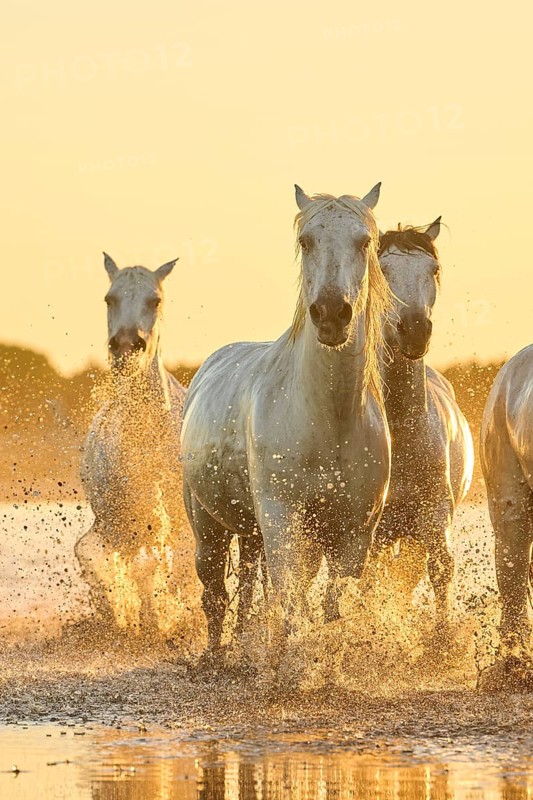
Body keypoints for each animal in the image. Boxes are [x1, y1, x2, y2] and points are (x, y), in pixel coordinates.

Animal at [77, 253, 190, 636]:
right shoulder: (124, 521)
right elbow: (135, 572)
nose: (126, 346)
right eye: (109, 299)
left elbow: (176, 568)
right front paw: (139, 624)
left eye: (154, 300)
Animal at [180, 183, 393, 655]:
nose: (331, 313)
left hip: (252, 531)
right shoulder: (282, 522)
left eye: (364, 242)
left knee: (244, 588)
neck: (329, 419)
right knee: (215, 595)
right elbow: (294, 606)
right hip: (209, 527)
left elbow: (332, 609)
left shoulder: (354, 534)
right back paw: (215, 656)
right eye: (305, 241)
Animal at [367, 220, 474, 633]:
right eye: (384, 270)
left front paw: (441, 641)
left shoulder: (434, 515)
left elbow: (441, 569)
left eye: (434, 269)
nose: (414, 329)